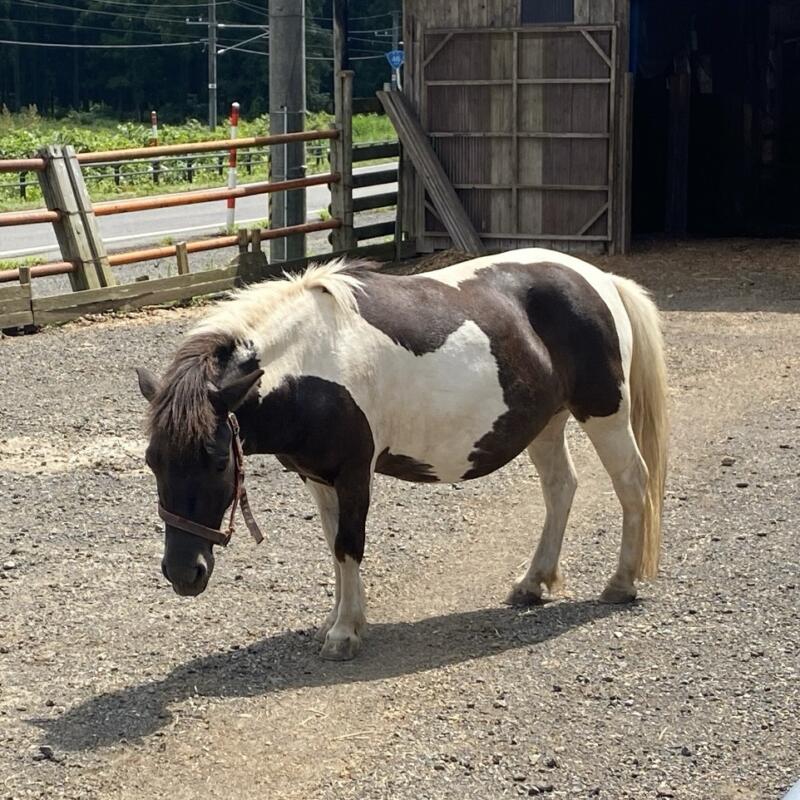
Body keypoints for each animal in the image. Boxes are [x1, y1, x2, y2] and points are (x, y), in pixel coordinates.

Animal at [138, 247, 668, 660]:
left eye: (219, 459)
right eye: (152, 462)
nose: (183, 574)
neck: (313, 360)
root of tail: (602, 280)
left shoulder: (354, 473)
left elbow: (348, 545)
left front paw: (345, 633)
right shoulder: (318, 477)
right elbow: (333, 546)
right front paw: (340, 619)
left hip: (604, 413)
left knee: (631, 484)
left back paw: (621, 583)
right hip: (547, 423)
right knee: (561, 489)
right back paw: (532, 583)